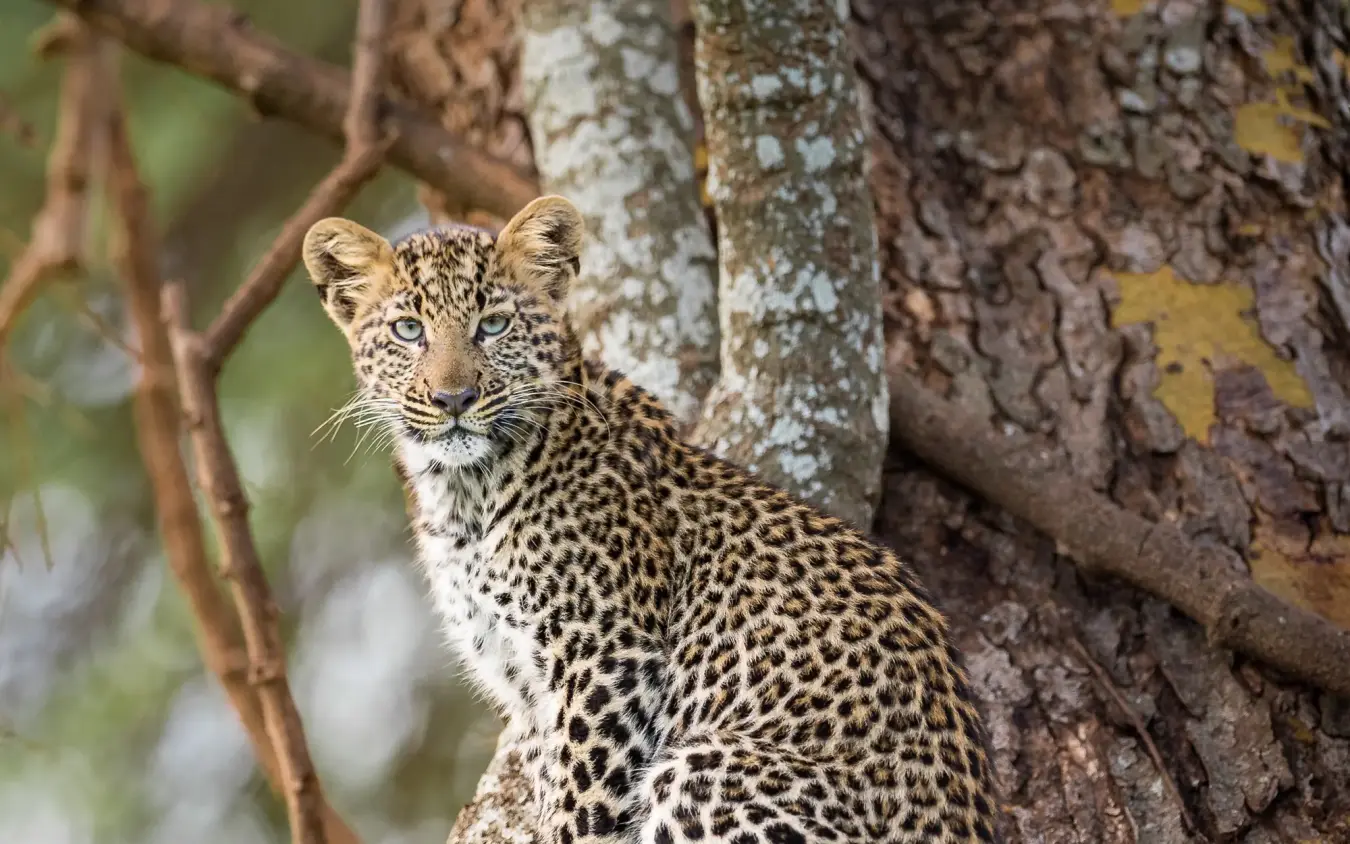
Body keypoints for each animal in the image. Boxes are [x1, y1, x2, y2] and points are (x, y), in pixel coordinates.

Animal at [302, 196, 1000, 844]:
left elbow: (580, 804)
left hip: (700, 770)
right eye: (408, 330)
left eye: (493, 326)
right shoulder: (521, 682)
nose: (454, 399)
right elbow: (547, 782)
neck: (463, 495)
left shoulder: (606, 656)